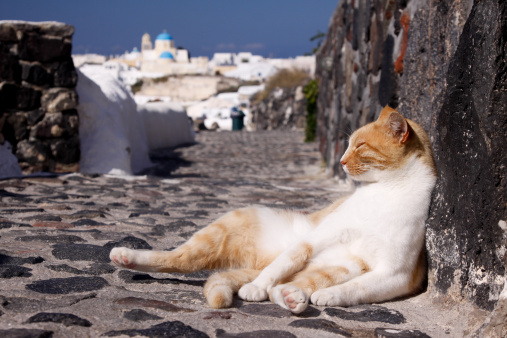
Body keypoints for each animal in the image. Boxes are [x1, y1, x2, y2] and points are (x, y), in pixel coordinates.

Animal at [110, 106, 436, 314]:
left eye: (360, 146)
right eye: (348, 145)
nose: (342, 161)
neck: (386, 191)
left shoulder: (395, 274)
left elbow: (356, 290)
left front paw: (329, 296)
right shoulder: (317, 238)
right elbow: (281, 265)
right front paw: (256, 287)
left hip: (346, 265)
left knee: (296, 283)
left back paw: (294, 297)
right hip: (221, 231)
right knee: (177, 259)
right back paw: (125, 256)